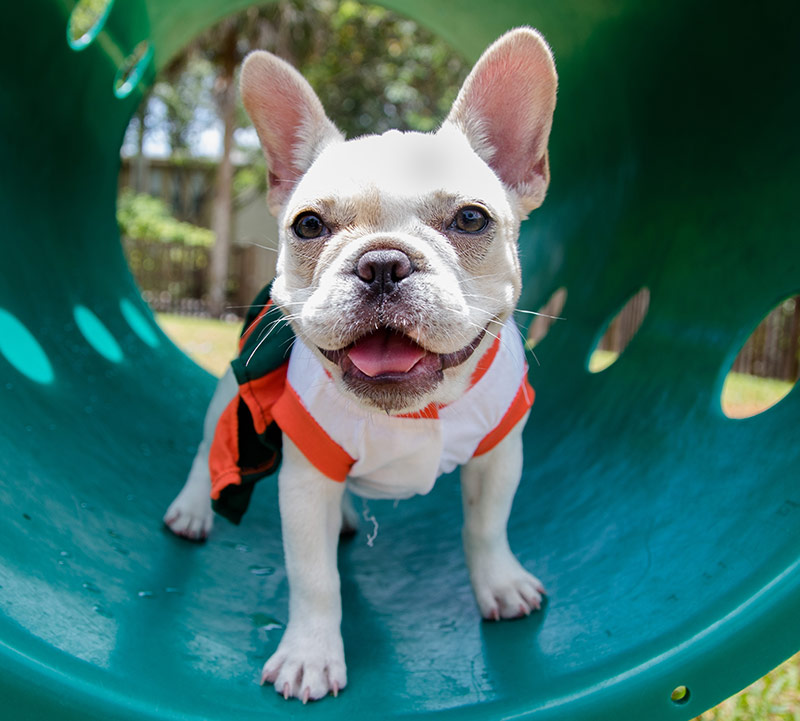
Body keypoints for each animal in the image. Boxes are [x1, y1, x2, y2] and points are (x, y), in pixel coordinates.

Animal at [165, 28, 556, 704]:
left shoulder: (498, 453)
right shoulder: (305, 482)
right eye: (308, 225)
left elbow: (487, 525)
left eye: (471, 218)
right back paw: (191, 509)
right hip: (229, 393)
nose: (382, 263)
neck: (413, 412)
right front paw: (309, 656)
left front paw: (500, 585)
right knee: (205, 447)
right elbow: (315, 577)